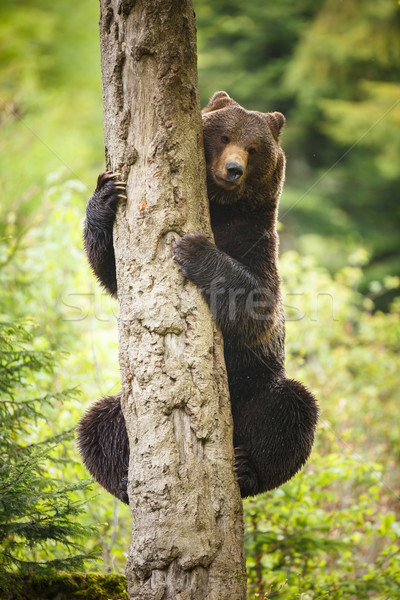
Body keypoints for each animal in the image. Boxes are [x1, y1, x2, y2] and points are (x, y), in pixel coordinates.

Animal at [76, 91, 318, 502]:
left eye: (253, 149)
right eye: (224, 136)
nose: (234, 169)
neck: (220, 206)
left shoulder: (257, 240)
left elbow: (258, 303)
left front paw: (194, 248)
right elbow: (112, 271)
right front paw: (106, 193)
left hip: (257, 388)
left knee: (291, 412)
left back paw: (246, 470)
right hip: (129, 412)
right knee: (95, 425)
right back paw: (125, 479)